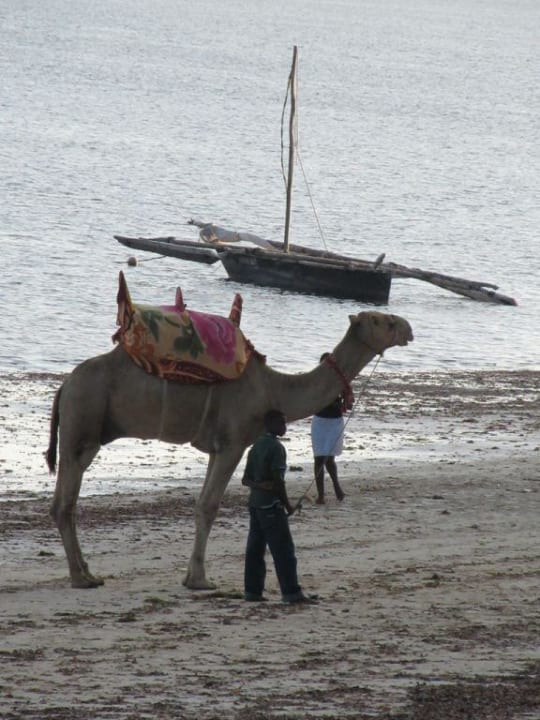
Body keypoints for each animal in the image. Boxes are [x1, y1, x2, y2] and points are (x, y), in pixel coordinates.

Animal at [45, 310, 413, 589]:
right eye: (381, 320)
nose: (408, 328)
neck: (273, 389)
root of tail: (65, 385)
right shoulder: (233, 443)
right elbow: (209, 506)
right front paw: (199, 580)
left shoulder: (216, 447)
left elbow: (202, 503)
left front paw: (192, 576)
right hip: (84, 423)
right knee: (66, 502)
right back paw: (81, 577)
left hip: (79, 427)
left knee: (62, 501)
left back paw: (86, 571)